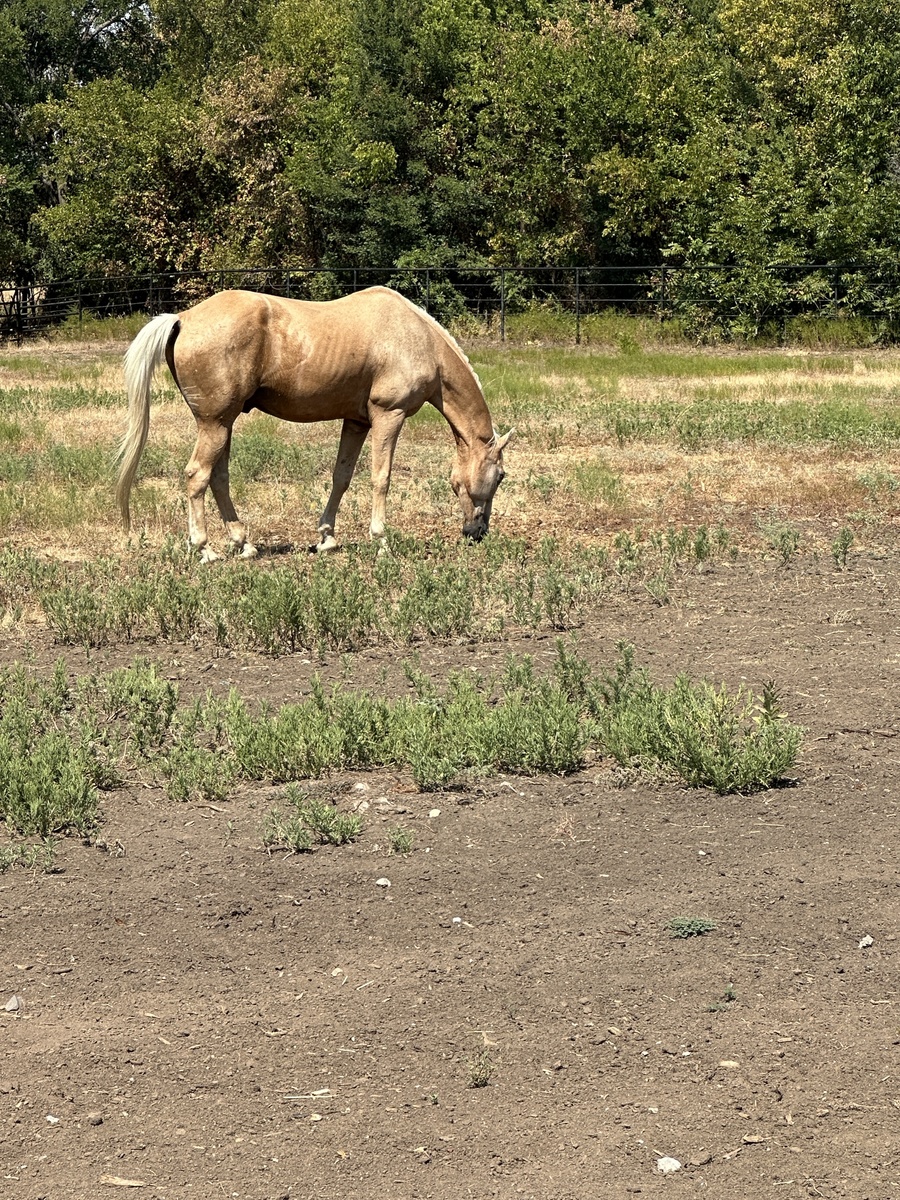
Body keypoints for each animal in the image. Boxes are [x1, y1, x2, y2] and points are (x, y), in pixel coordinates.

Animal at [116, 286, 513, 562]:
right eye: (501, 476)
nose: (477, 532)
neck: (418, 340)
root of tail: (183, 318)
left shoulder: (356, 421)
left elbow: (342, 477)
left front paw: (327, 538)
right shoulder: (389, 415)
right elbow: (381, 478)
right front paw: (382, 541)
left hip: (223, 424)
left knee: (218, 477)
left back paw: (243, 543)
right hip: (214, 424)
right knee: (197, 475)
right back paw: (205, 549)